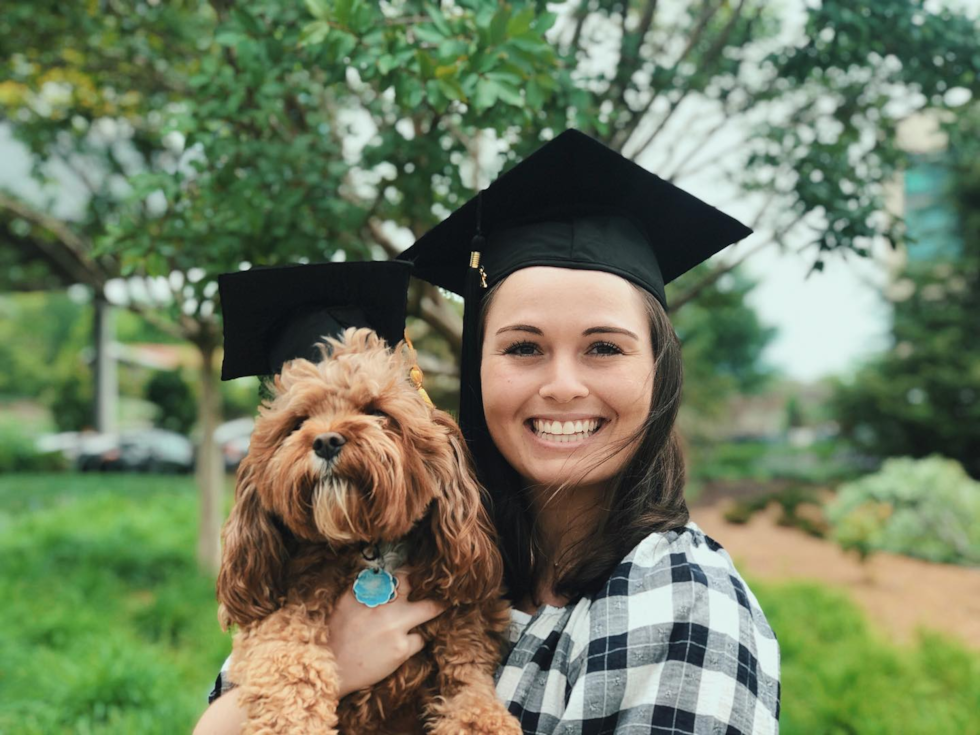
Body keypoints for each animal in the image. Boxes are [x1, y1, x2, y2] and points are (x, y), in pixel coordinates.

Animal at [214, 330, 520, 735]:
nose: (325, 441)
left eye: (376, 412)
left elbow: (473, 699)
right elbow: (289, 665)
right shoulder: (278, 615)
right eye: (298, 422)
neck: (366, 544)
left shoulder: (465, 636)